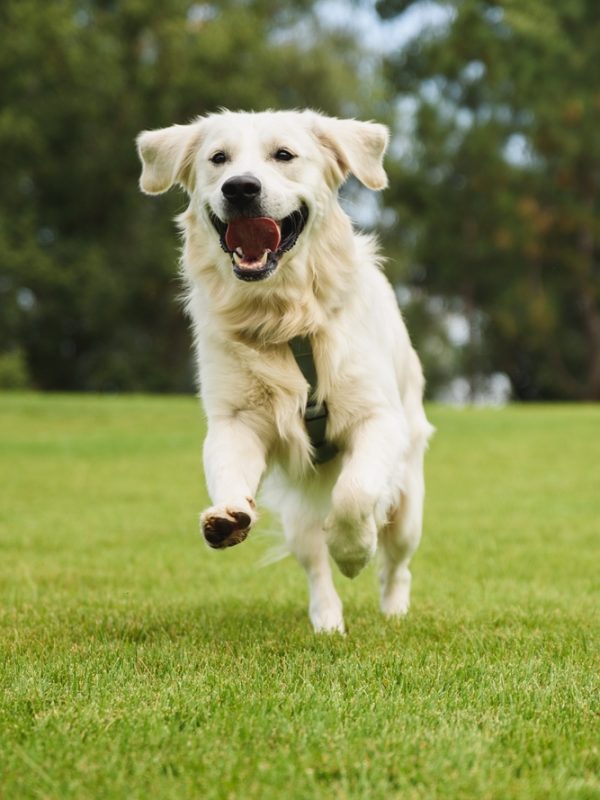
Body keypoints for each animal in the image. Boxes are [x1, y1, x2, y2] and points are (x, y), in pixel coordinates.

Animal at [138, 108, 434, 632]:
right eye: (219, 158)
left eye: (284, 155)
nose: (240, 188)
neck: (286, 320)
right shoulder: (235, 421)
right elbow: (228, 472)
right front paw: (227, 518)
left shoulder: (377, 419)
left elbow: (355, 494)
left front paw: (353, 551)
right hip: (300, 517)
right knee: (315, 565)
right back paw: (327, 621)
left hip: (408, 505)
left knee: (396, 563)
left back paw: (393, 608)